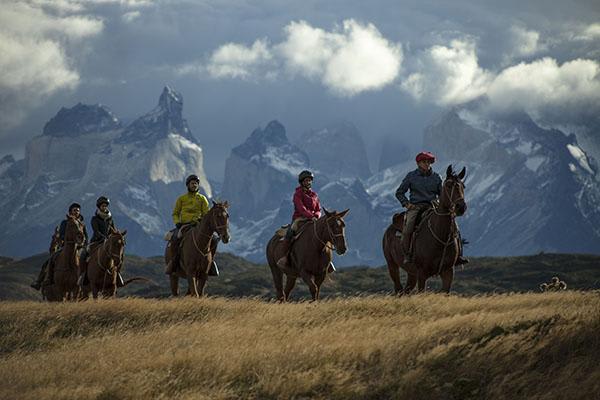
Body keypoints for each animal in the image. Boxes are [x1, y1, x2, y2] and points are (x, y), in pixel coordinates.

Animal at [382, 165, 466, 294]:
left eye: (463, 186)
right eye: (448, 185)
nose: (461, 207)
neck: (440, 234)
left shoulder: (448, 272)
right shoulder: (422, 273)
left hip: (411, 273)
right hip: (392, 265)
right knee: (399, 289)